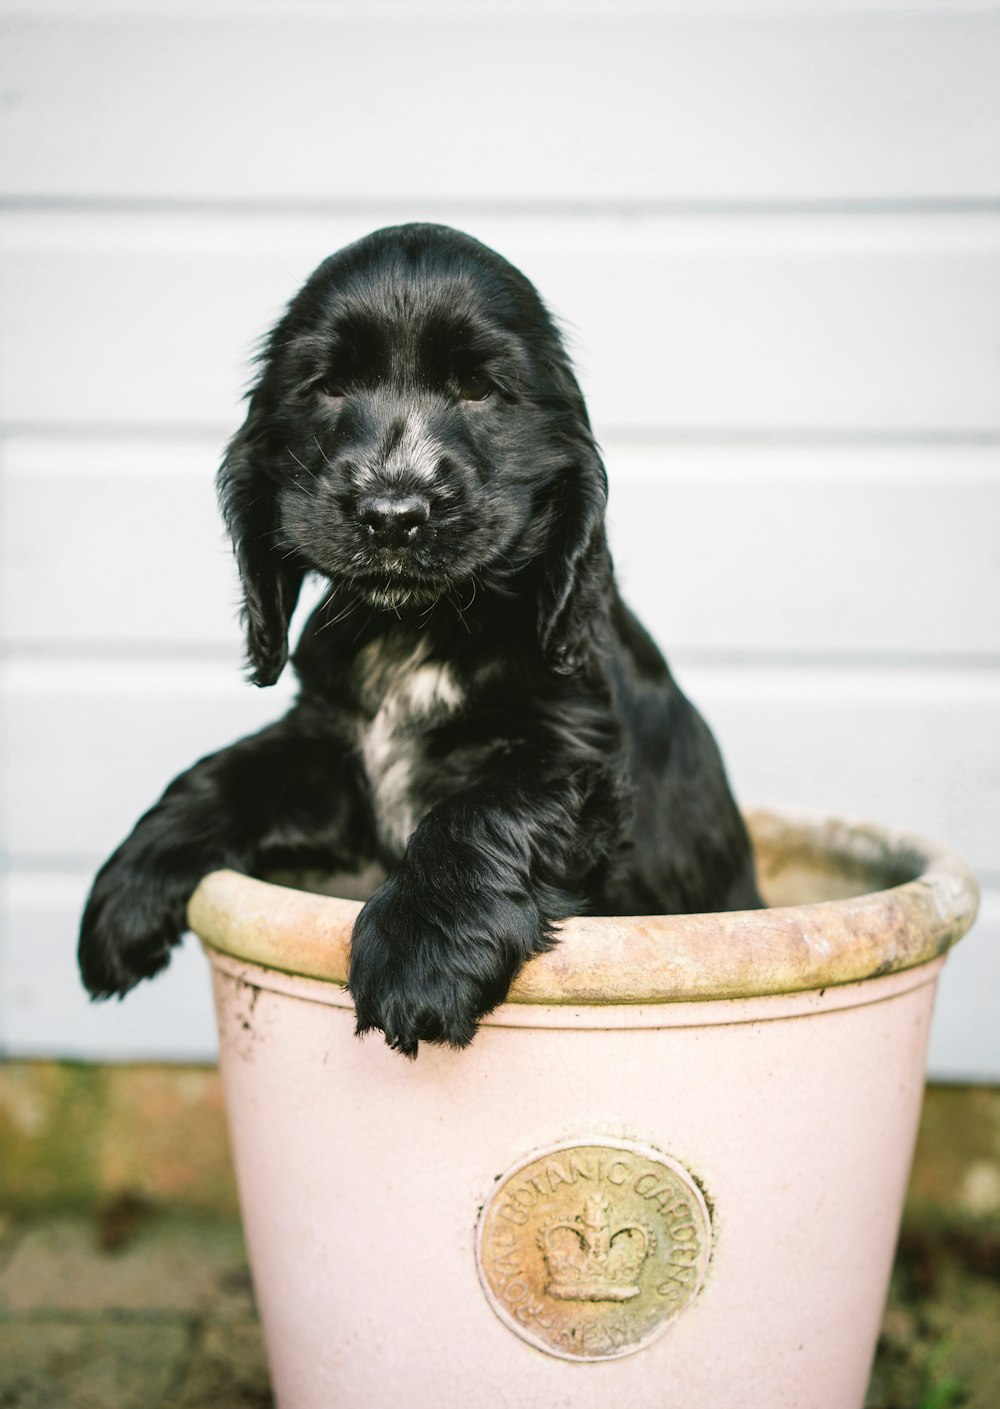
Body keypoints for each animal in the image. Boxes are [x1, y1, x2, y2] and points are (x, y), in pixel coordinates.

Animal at [80, 225, 760, 1053]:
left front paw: (418, 956)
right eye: (328, 387)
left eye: (478, 389)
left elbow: (482, 807)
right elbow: (228, 770)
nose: (392, 514)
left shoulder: (570, 751)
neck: (416, 627)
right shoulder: (332, 745)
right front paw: (125, 895)